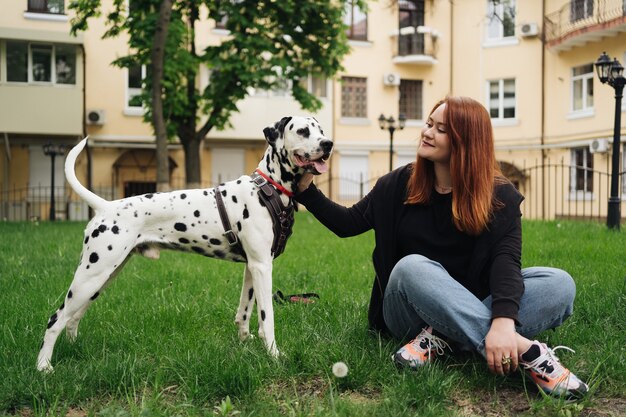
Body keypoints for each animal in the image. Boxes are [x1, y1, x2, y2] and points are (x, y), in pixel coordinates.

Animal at [37, 114, 332, 370]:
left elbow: (245, 313)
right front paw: (274, 354)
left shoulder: (253, 267)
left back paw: (75, 349)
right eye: (302, 131)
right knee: (55, 319)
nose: (328, 144)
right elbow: (266, 317)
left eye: (321, 130)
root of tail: (105, 206)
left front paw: (245, 342)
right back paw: (43, 367)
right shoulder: (262, 267)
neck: (267, 188)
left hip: (100, 279)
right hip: (90, 277)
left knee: (73, 318)